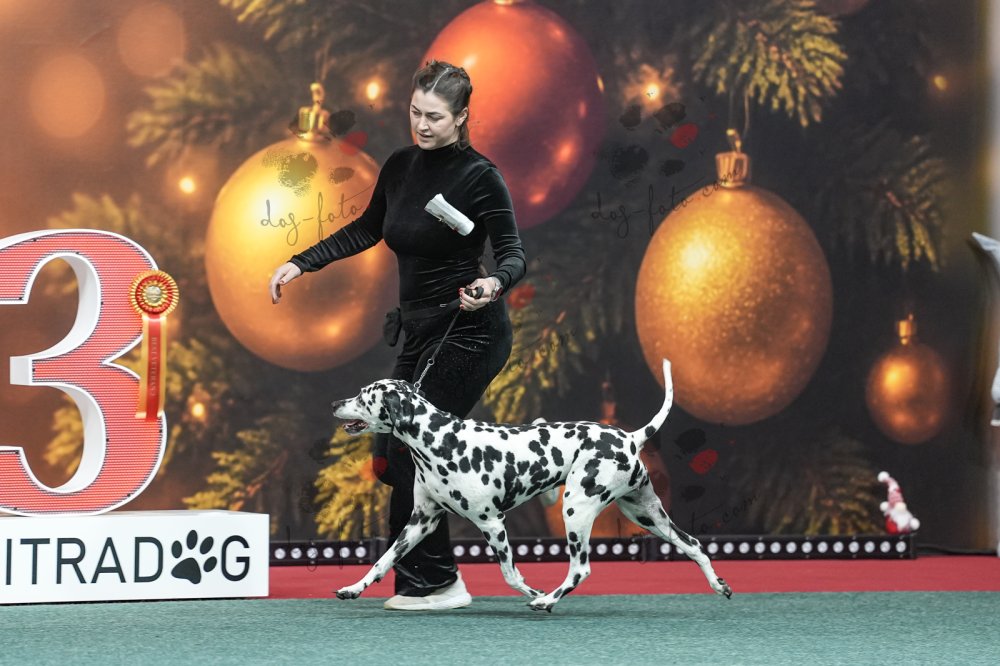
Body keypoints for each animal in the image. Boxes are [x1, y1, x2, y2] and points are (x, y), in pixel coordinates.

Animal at [330, 359, 732, 611]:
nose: (336, 402)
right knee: (694, 544)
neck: (441, 440)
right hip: (646, 515)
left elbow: (510, 574)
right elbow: (382, 562)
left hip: (576, 510)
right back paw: (719, 585)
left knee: (580, 569)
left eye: (364, 396)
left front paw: (533, 590)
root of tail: (631, 438)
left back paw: (547, 600)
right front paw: (353, 588)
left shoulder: (493, 523)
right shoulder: (420, 521)